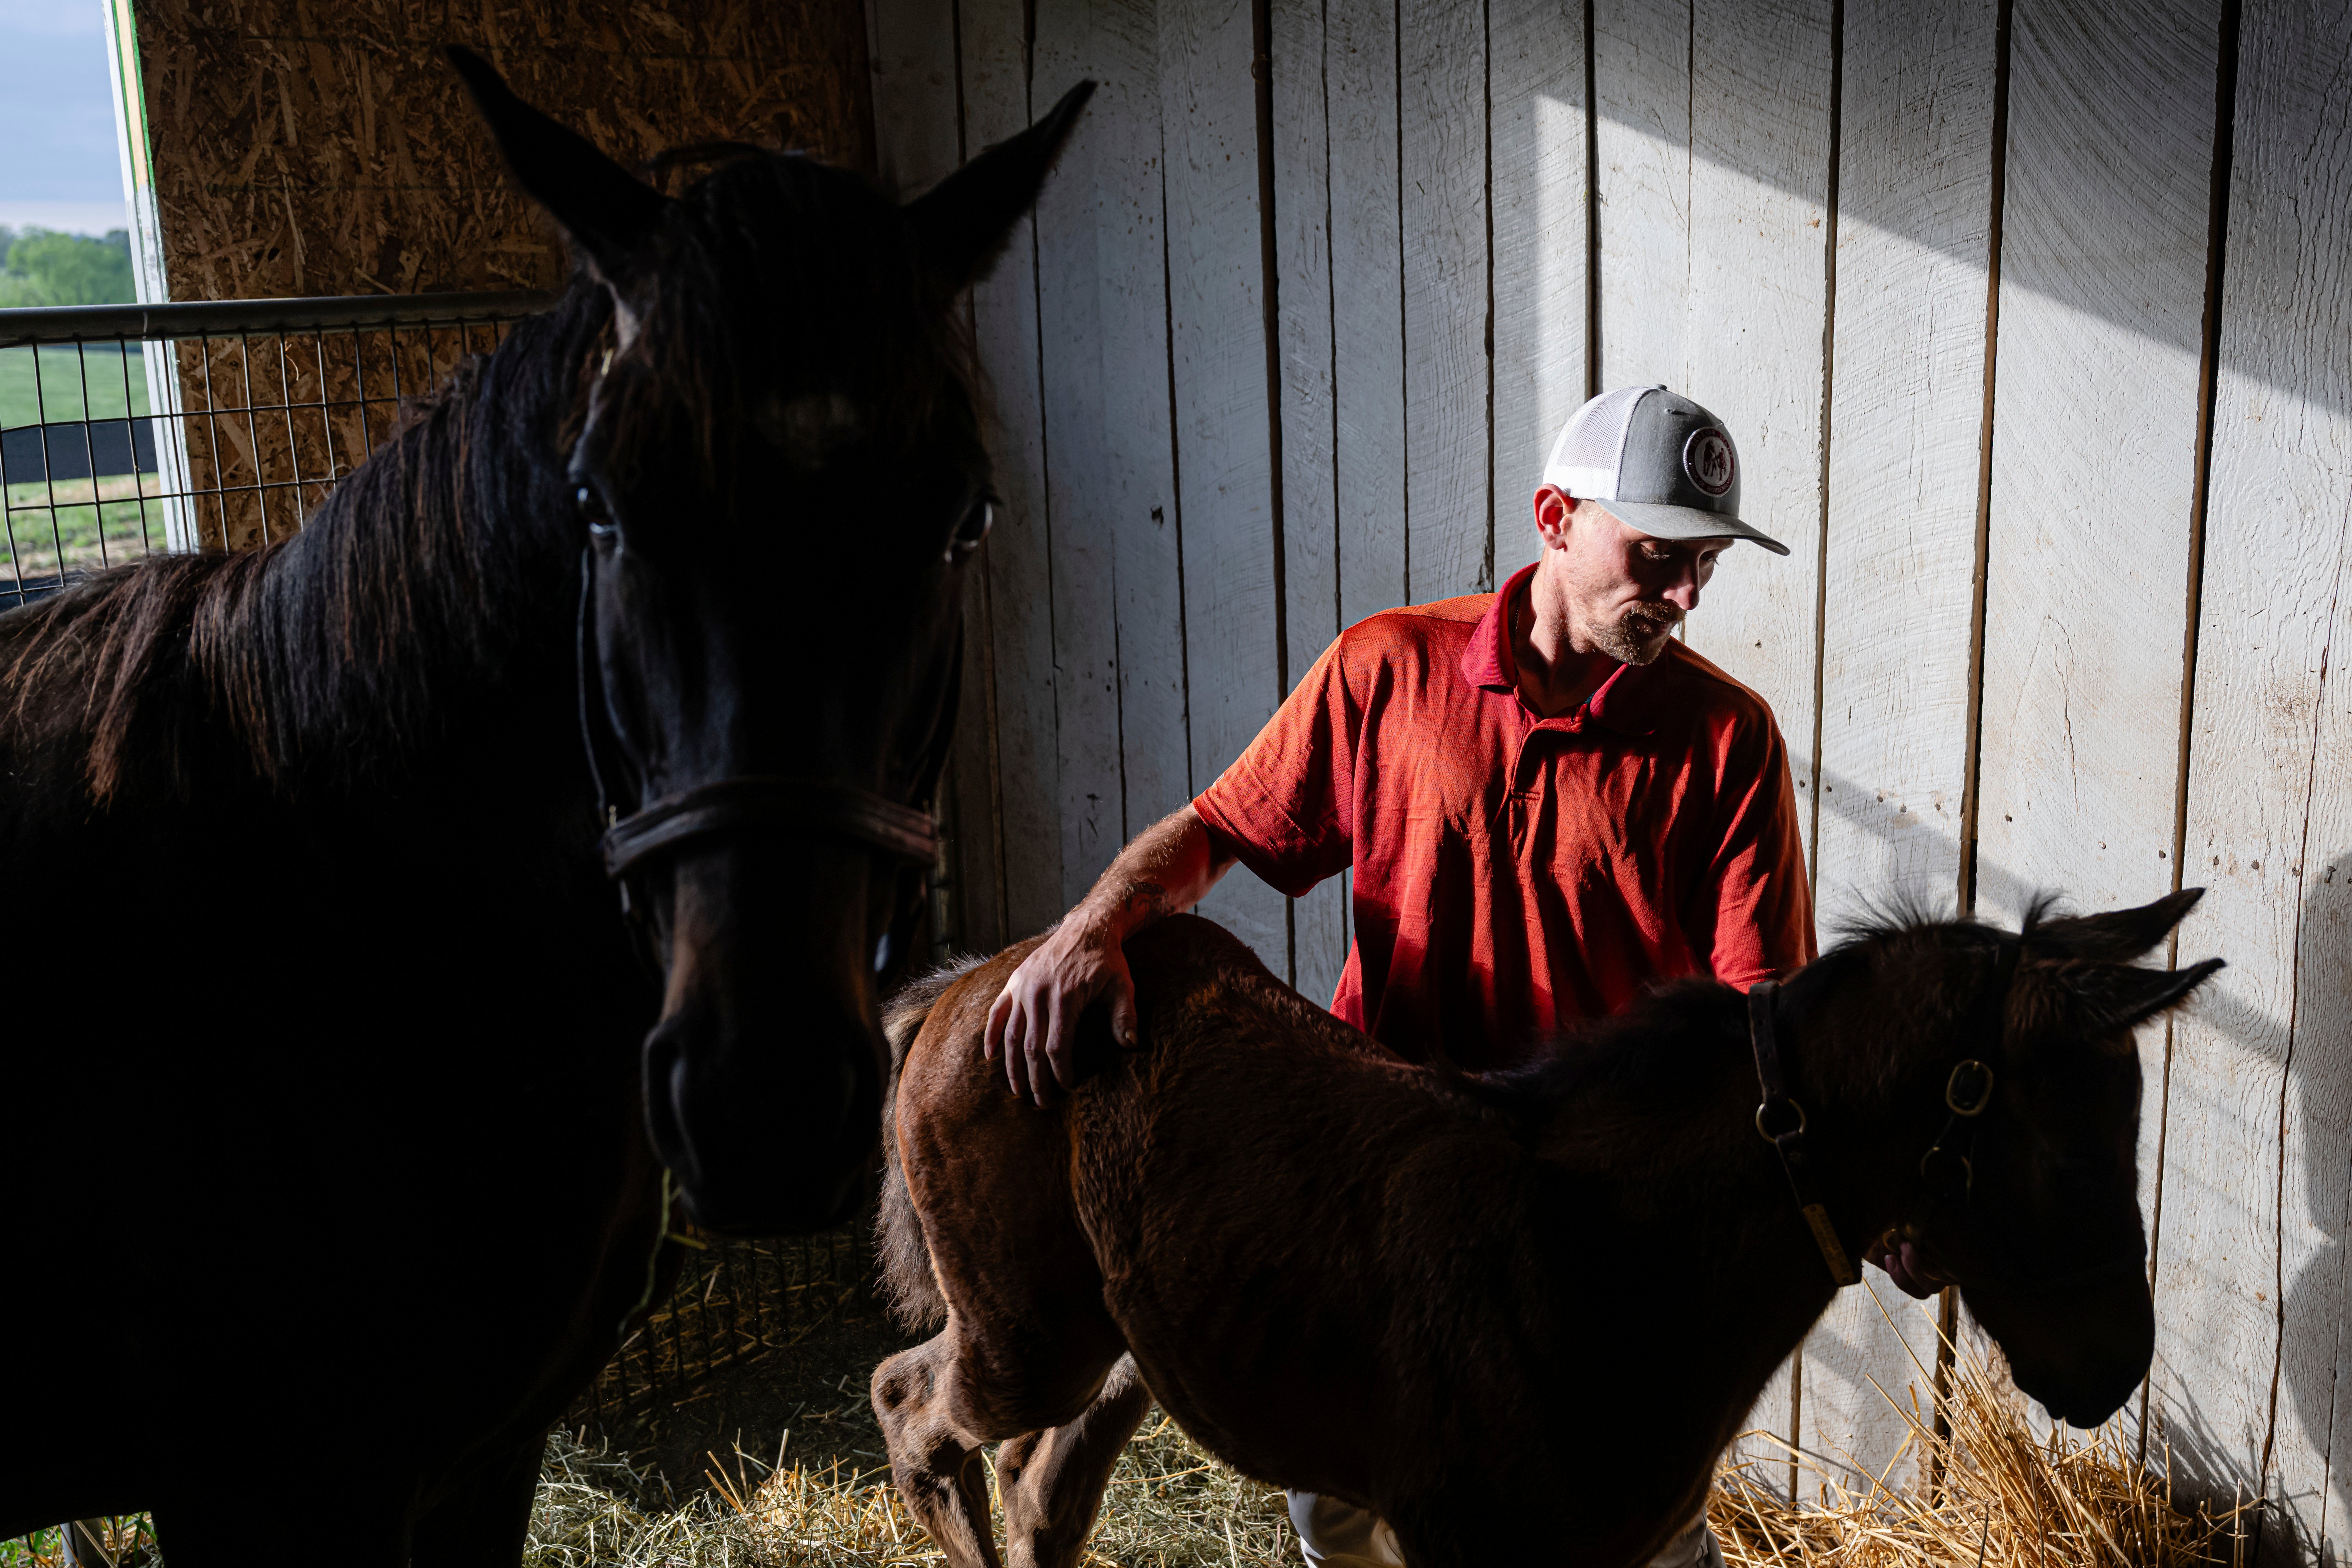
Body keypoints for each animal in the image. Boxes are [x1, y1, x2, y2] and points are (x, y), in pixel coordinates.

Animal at [0, 52, 1091, 1567]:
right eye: (598, 503)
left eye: (963, 518)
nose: (761, 1102)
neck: (355, 905)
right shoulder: (268, 1489)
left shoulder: (485, 1452)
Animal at [872, 893, 2223, 1568]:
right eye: (2075, 1153)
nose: (2117, 1369)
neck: (1611, 1250)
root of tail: (963, 985)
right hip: (1027, 1338)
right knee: (912, 1403)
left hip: (1128, 1341)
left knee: (1043, 1490)